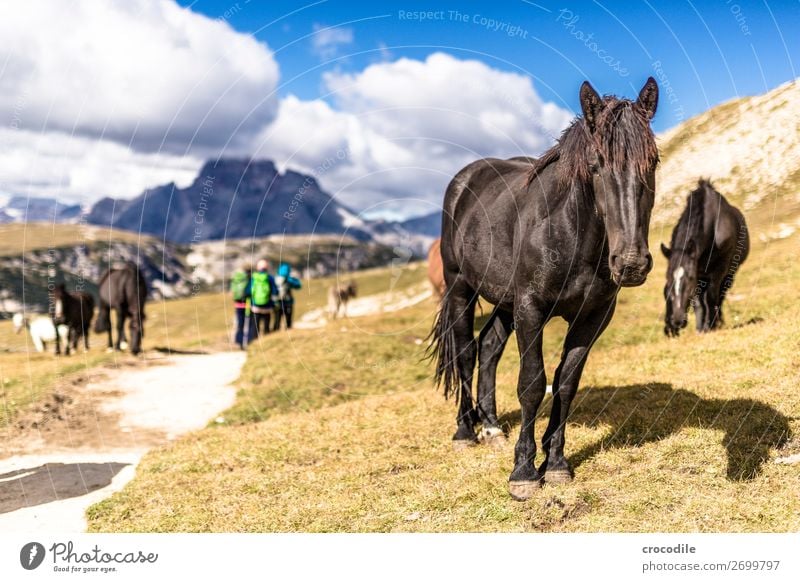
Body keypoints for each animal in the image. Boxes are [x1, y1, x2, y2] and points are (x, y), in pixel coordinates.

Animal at [428, 76, 660, 502]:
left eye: (652, 162)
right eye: (596, 165)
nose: (631, 263)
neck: (569, 233)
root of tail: (466, 179)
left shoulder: (592, 317)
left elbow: (565, 384)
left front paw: (555, 465)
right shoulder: (531, 308)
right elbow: (533, 383)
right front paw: (523, 471)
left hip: (505, 302)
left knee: (489, 348)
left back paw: (491, 427)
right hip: (460, 288)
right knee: (466, 353)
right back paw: (466, 430)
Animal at [660, 179, 748, 338]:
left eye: (688, 279)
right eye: (668, 281)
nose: (677, 320)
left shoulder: (718, 270)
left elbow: (711, 298)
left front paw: (710, 326)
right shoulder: (698, 272)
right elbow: (698, 302)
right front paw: (701, 328)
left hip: (729, 274)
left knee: (720, 296)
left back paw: (717, 322)